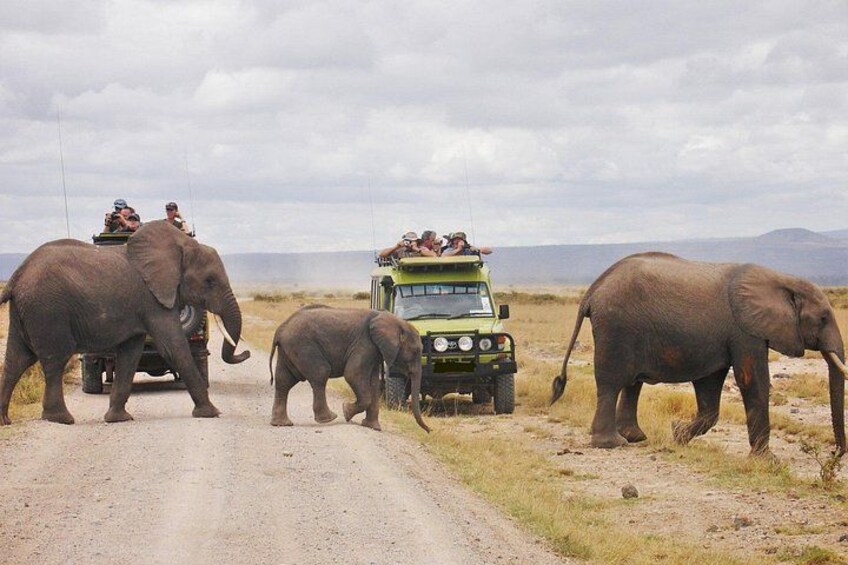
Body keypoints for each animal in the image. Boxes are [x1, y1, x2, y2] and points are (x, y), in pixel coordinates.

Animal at [0, 221, 251, 425]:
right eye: (210, 281)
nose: (246, 353)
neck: (180, 244)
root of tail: (16, 276)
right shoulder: (152, 300)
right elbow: (175, 348)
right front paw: (211, 413)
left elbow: (130, 355)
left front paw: (118, 418)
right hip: (48, 311)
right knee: (54, 360)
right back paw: (61, 419)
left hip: (28, 311)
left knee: (16, 359)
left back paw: (5, 421)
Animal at [268, 305, 429, 432]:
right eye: (416, 351)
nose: (429, 431)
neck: (394, 320)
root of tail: (280, 330)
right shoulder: (365, 343)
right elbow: (353, 374)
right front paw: (346, 411)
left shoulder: (374, 350)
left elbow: (373, 383)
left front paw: (373, 427)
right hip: (303, 346)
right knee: (320, 373)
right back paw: (329, 418)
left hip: (289, 350)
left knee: (283, 381)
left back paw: (281, 424)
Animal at [549, 252, 847, 457]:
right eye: (823, 318)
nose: (835, 455)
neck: (783, 280)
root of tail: (591, 292)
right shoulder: (744, 330)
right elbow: (753, 382)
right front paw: (767, 461)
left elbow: (710, 386)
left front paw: (678, 434)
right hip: (616, 328)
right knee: (612, 383)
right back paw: (612, 444)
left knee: (633, 384)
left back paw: (635, 437)